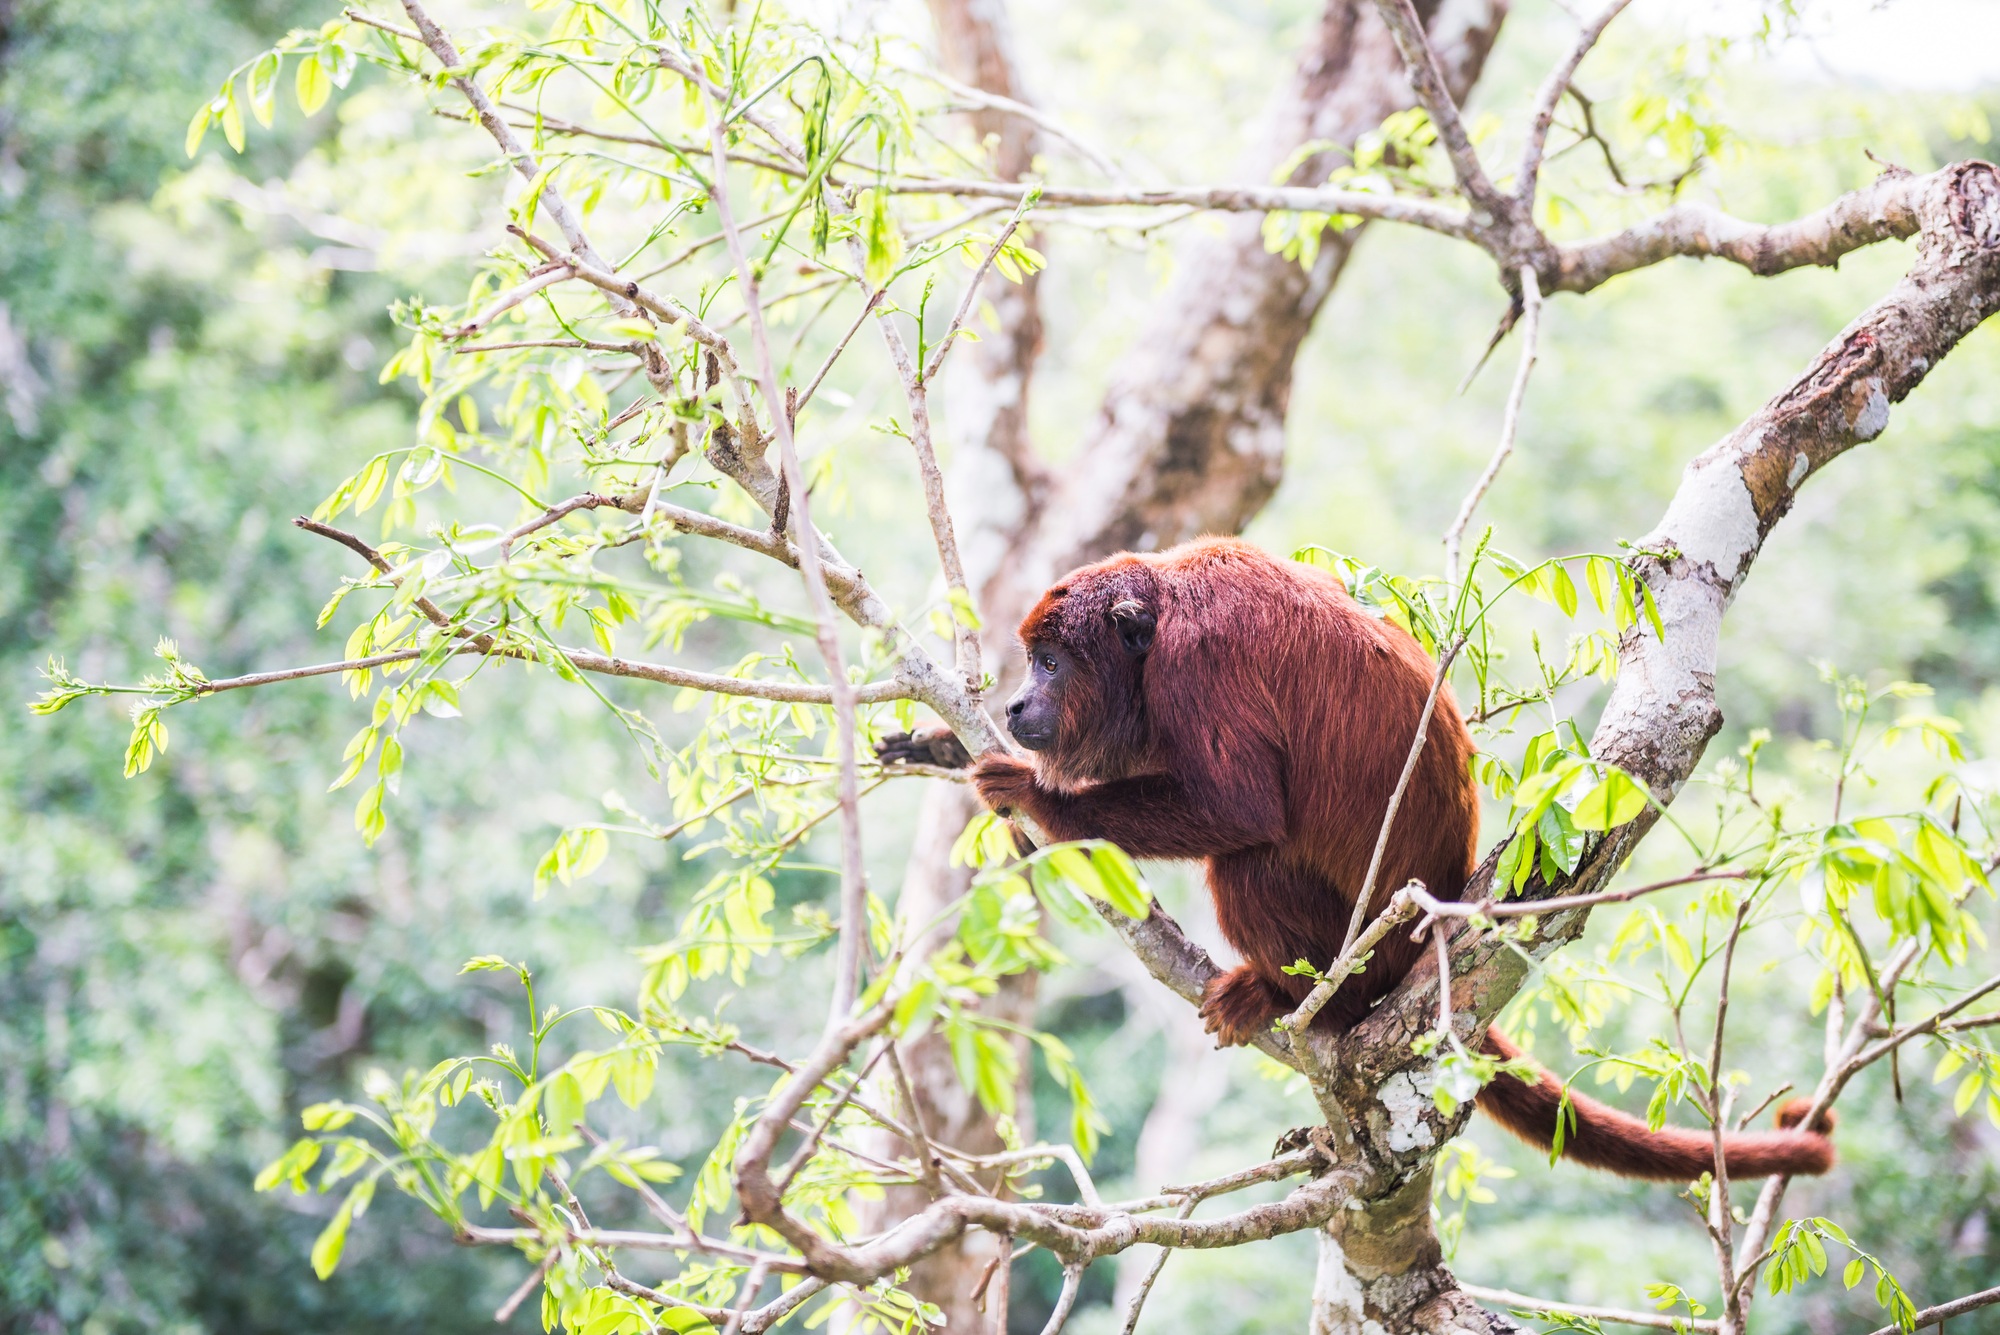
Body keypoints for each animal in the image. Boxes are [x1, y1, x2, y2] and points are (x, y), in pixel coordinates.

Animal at [879, 536, 1834, 1181]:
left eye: (1048, 660)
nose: (1017, 703)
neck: (1155, 618)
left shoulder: (1198, 663)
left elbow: (1240, 805)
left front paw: (1036, 796)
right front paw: (949, 748)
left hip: (1358, 948)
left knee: (1250, 860)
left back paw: (1291, 996)